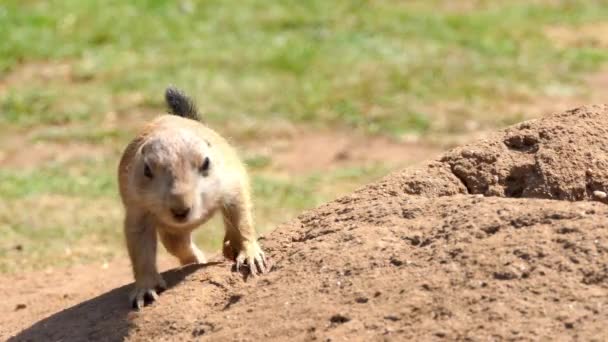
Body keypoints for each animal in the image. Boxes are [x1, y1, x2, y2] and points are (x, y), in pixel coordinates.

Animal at [117, 87, 268, 308]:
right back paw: (199, 259)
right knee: (179, 246)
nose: (180, 210)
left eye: (206, 163)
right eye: (146, 170)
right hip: (171, 231)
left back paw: (229, 246)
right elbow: (139, 247)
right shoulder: (138, 207)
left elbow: (242, 219)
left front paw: (251, 256)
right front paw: (145, 289)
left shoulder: (231, 183)